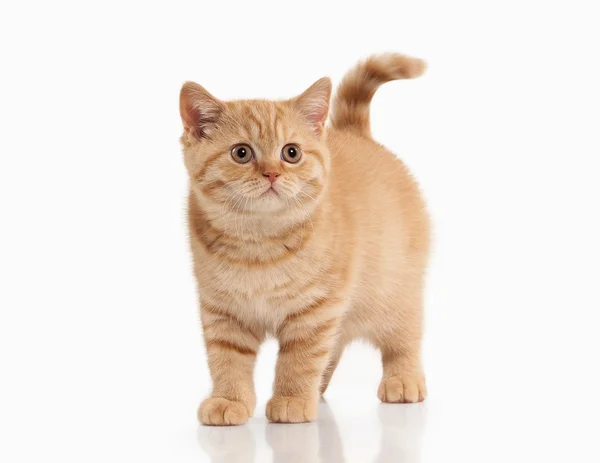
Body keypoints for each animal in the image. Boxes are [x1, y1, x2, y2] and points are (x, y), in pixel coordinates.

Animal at [180, 52, 428, 426]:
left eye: (291, 153)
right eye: (241, 153)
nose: (271, 173)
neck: (258, 242)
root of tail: (357, 133)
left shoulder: (316, 309)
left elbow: (298, 359)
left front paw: (292, 399)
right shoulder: (223, 311)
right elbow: (227, 360)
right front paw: (229, 399)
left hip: (396, 291)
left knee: (403, 339)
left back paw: (403, 379)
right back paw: (320, 388)